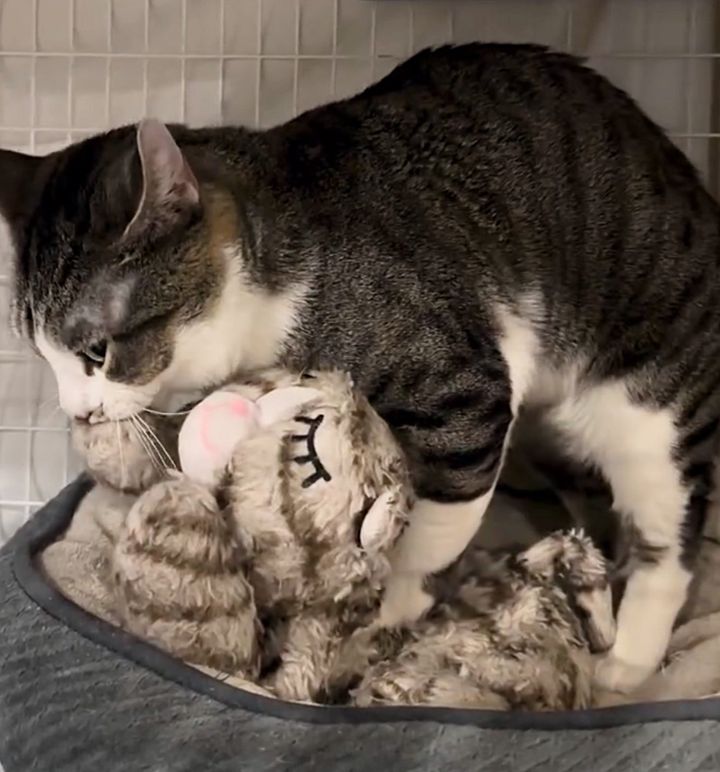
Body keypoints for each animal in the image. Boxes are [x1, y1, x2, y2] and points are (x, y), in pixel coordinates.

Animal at [2, 43, 716, 692]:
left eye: (97, 351)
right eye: (42, 356)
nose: (77, 412)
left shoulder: (463, 389)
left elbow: (434, 524)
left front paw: (386, 607)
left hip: (651, 409)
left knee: (670, 540)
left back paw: (629, 659)